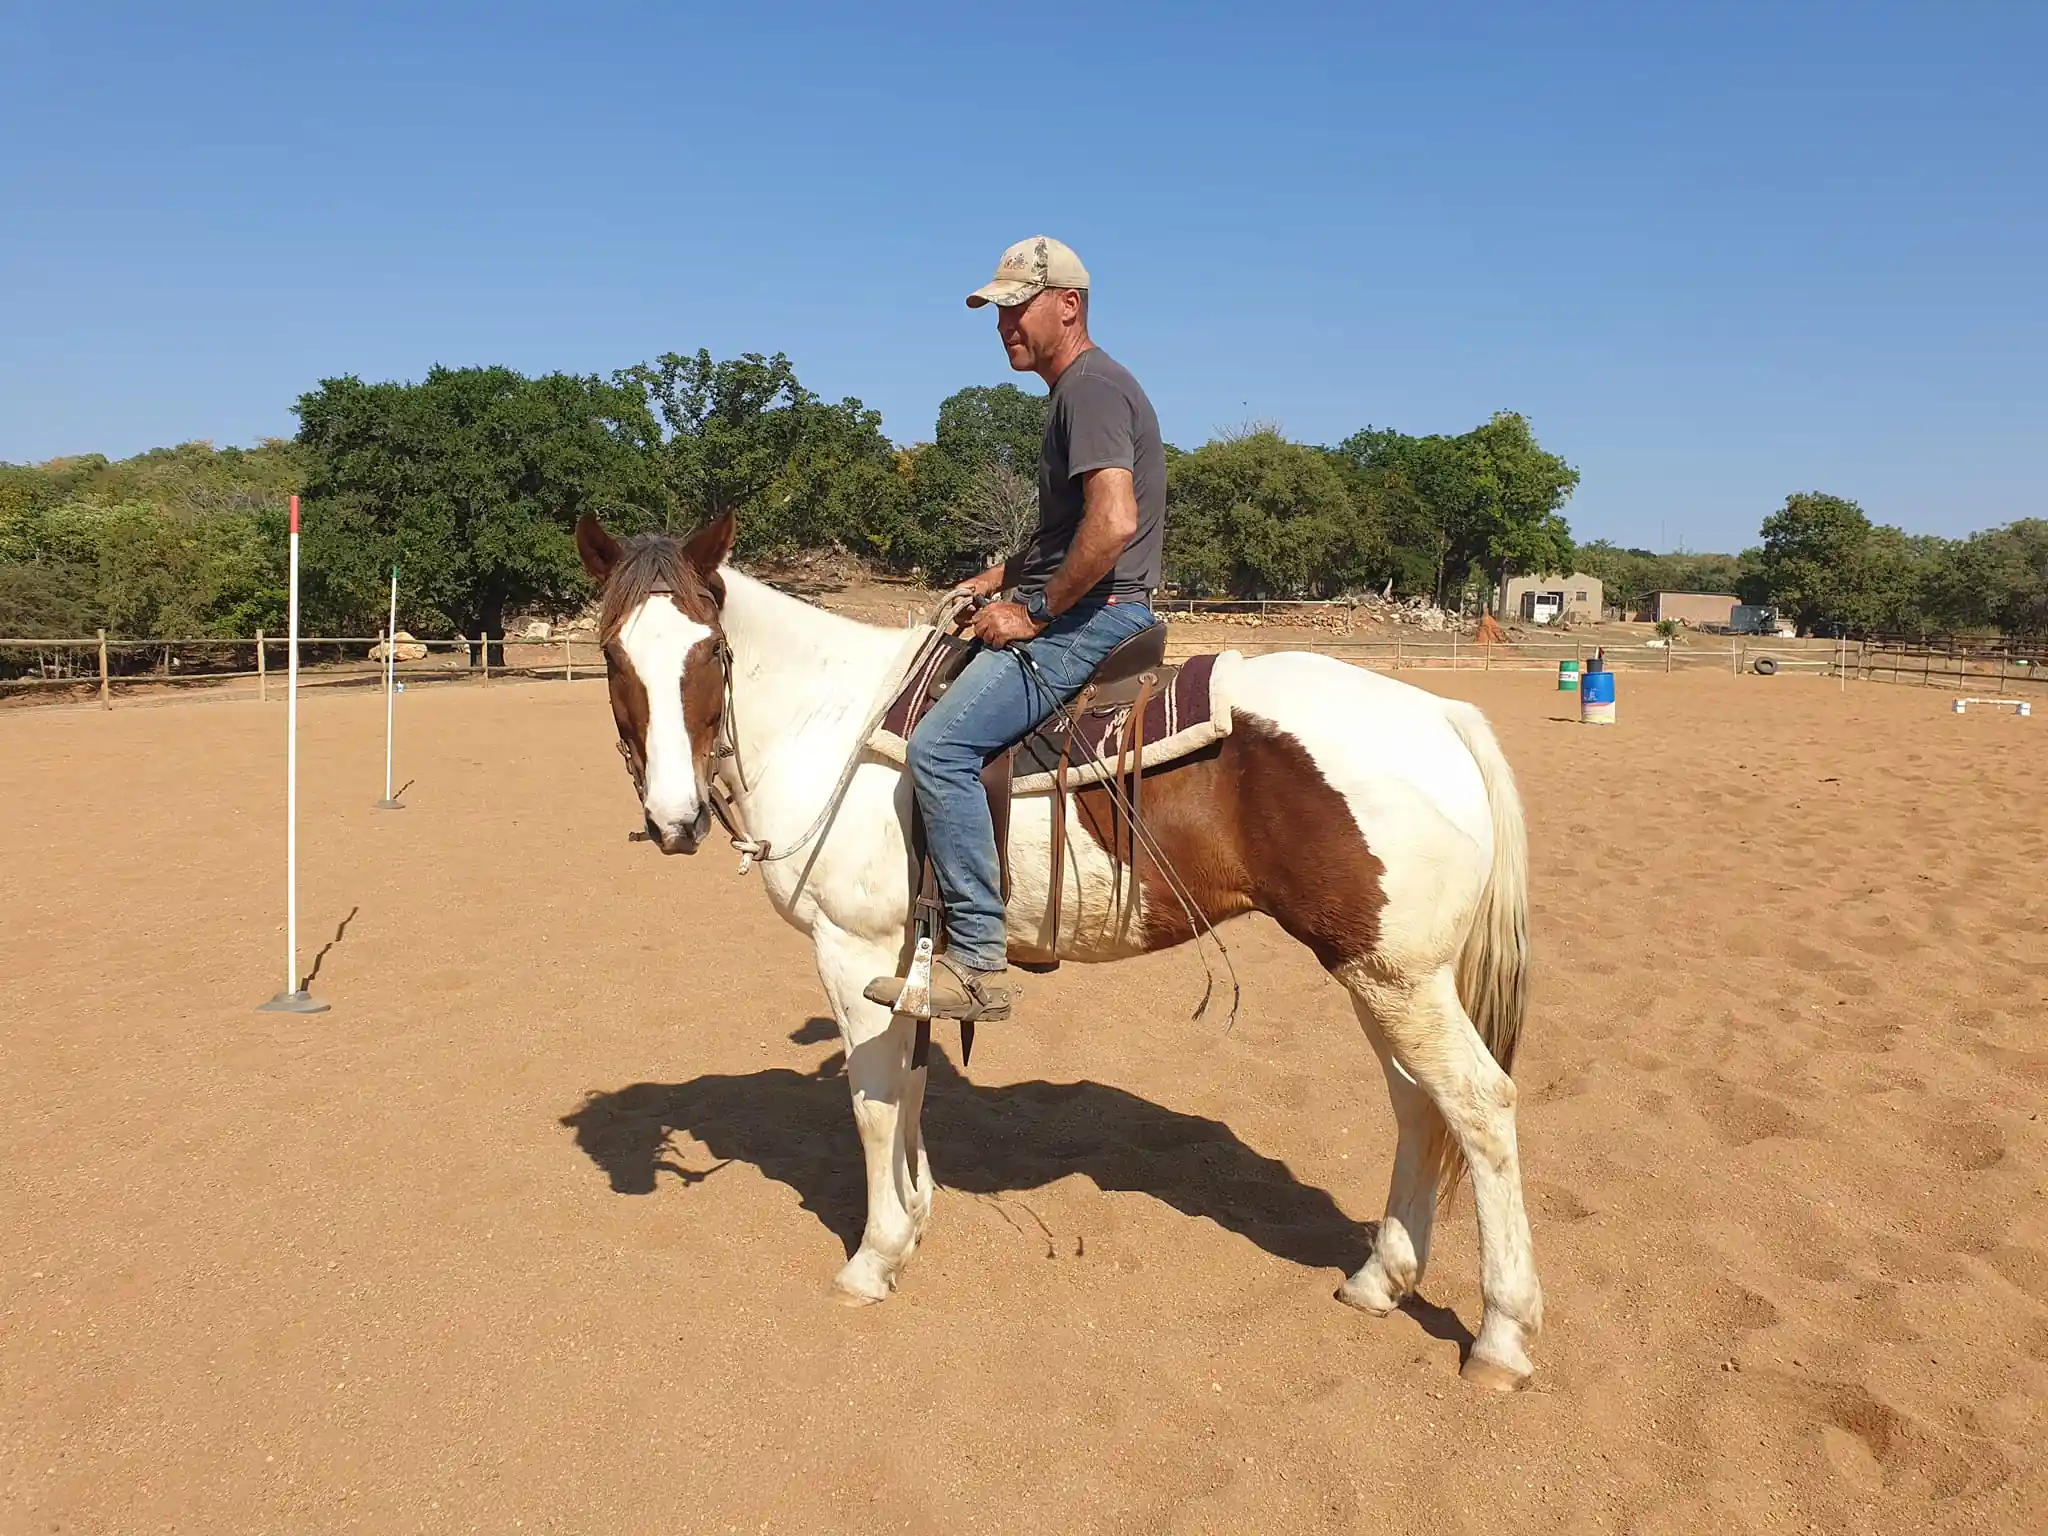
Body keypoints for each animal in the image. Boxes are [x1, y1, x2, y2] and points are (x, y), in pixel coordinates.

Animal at [574, 512, 1544, 1390]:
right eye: (615, 656)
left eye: (710, 652)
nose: (674, 821)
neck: (832, 722)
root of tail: (1442, 714)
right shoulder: (911, 967)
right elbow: (913, 1088)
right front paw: (915, 1221)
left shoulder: (855, 953)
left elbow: (873, 1103)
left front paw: (874, 1258)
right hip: (1380, 973)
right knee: (1419, 1106)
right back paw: (1381, 1280)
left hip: (1397, 977)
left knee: (1480, 1104)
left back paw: (1501, 1336)